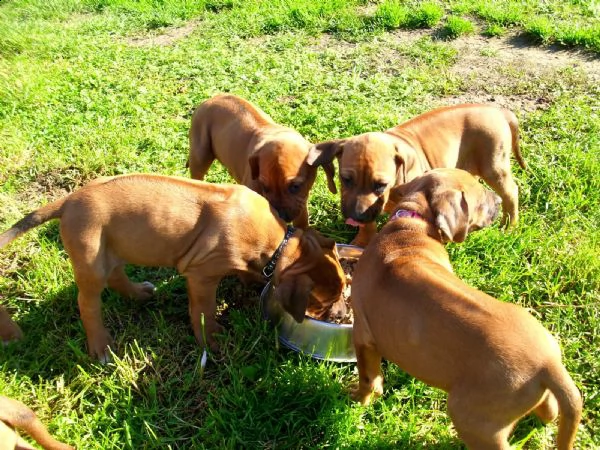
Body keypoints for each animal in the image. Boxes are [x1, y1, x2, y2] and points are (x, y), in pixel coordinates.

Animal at [0, 174, 346, 364]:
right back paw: (101, 347)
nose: (343, 314)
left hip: (114, 247)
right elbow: (203, 311)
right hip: (90, 259)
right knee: (88, 303)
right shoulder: (202, 276)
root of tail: (69, 201)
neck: (278, 242)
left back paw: (139, 294)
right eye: (322, 303)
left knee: (117, 275)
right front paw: (212, 340)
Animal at [188, 94, 338, 229]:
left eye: (295, 186)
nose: (281, 217)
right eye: (265, 187)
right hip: (200, 155)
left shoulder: (301, 205)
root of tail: (209, 100)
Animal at [308, 103, 528, 246]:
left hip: (494, 165)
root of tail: (498, 111)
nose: (355, 217)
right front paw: (362, 240)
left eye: (380, 185)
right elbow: (369, 221)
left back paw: (510, 226)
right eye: (345, 179)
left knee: (511, 192)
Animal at [352, 167, 580, 448]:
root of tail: (549, 364)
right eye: (480, 199)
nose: (498, 200)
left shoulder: (363, 335)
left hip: (472, 419)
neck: (411, 226)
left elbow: (369, 378)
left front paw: (358, 401)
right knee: (550, 409)